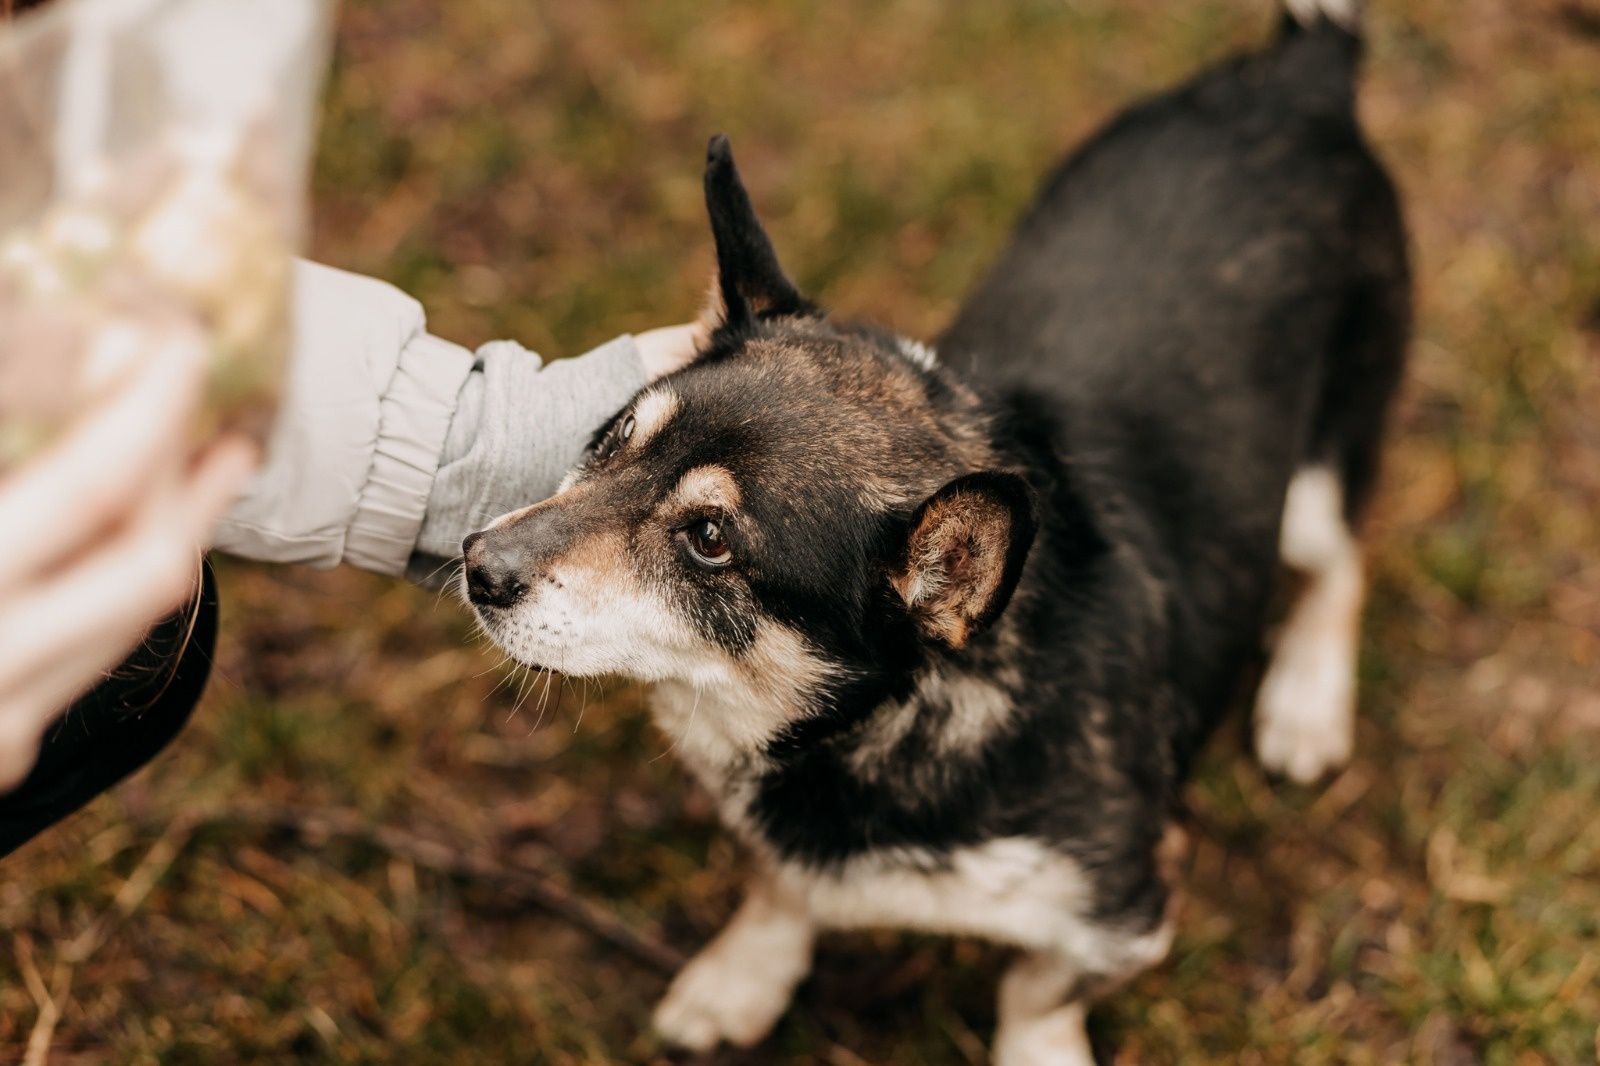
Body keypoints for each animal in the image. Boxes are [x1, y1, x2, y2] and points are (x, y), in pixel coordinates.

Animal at [457, 4, 1408, 1056]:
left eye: (709, 537)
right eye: (614, 437)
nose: (477, 565)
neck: (879, 723)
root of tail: (1302, 74)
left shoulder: (1123, 911)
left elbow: (1036, 993)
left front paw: (1038, 1053)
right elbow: (778, 890)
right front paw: (743, 978)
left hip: (1316, 480)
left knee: (1342, 563)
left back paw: (1306, 704)